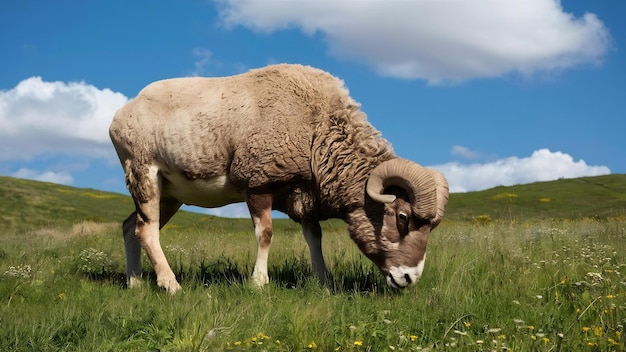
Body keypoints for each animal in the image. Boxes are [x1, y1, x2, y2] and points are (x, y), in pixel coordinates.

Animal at [108, 64, 448, 294]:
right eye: (402, 216)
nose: (409, 278)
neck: (317, 127)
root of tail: (121, 114)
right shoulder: (257, 183)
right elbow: (266, 234)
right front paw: (259, 283)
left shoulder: (303, 194)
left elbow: (315, 237)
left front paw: (323, 281)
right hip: (143, 172)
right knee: (146, 230)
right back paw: (170, 285)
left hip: (170, 193)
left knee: (131, 227)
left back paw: (135, 282)